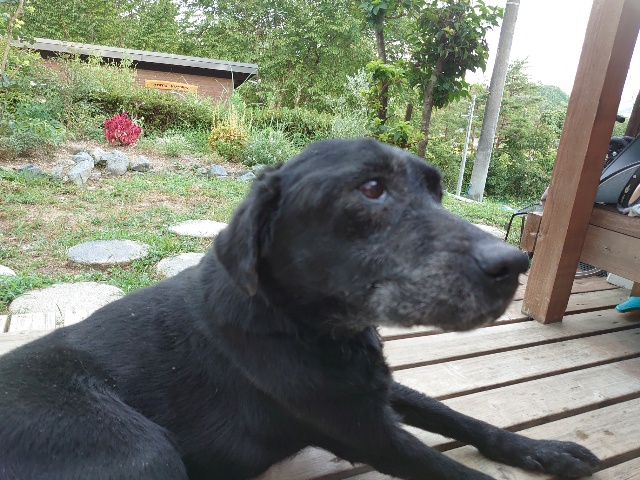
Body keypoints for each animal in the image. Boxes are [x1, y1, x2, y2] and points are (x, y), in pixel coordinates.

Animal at [0, 138, 599, 479]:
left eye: (435, 189)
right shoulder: (365, 431)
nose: (514, 263)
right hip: (141, 448)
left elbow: (461, 418)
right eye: (372, 189)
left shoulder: (373, 390)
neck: (303, 326)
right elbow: (456, 471)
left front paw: (544, 450)